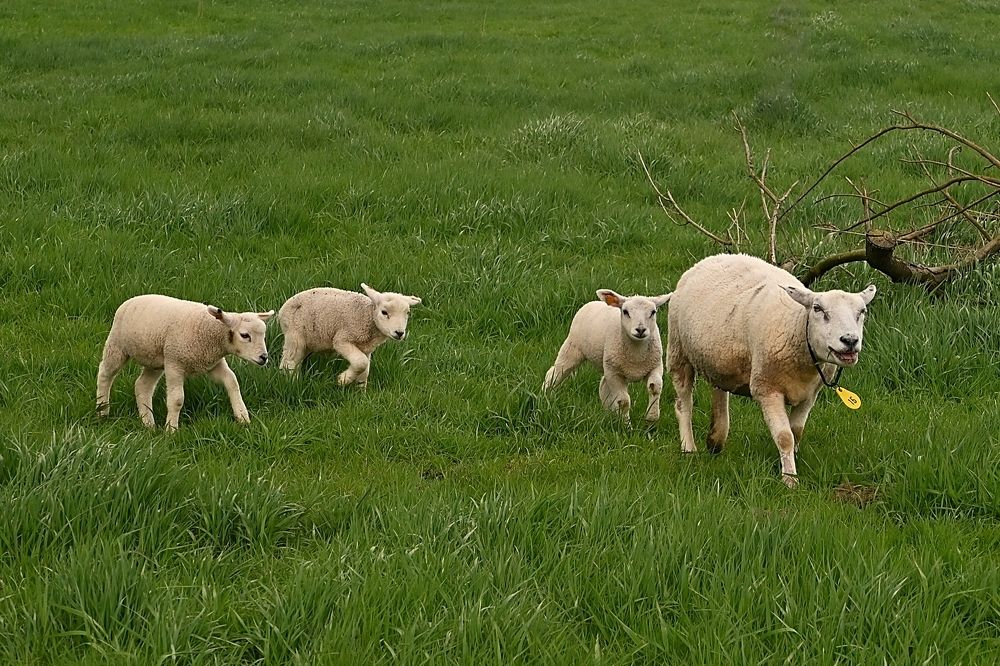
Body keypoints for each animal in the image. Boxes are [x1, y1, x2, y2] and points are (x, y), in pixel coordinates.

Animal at [96, 295, 274, 431]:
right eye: (245, 335)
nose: (263, 357)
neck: (210, 332)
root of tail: (131, 300)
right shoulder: (175, 364)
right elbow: (177, 400)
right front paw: (171, 430)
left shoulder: (213, 364)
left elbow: (232, 381)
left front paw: (242, 417)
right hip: (117, 346)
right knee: (105, 374)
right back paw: (102, 410)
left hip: (156, 360)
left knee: (142, 386)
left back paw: (148, 424)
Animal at [277, 283, 422, 387]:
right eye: (384, 312)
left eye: (407, 313)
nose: (399, 333)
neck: (367, 316)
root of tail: (282, 310)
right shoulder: (342, 339)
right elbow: (361, 363)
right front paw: (343, 380)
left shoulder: (366, 348)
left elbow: (364, 372)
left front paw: (361, 393)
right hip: (295, 336)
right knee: (288, 363)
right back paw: (291, 383)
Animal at [542, 289, 672, 422]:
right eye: (625, 312)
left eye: (653, 312)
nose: (640, 330)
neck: (637, 353)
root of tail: (592, 303)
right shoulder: (614, 374)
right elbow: (623, 401)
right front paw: (626, 424)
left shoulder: (655, 365)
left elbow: (655, 387)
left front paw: (651, 418)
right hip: (573, 348)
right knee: (555, 373)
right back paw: (544, 396)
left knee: (603, 386)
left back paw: (609, 413)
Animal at [666, 254, 876, 487]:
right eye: (817, 309)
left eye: (862, 312)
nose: (850, 340)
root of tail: (714, 258)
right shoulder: (767, 388)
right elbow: (785, 436)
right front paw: (790, 479)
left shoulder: (810, 394)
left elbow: (796, 432)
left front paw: (789, 464)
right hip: (678, 349)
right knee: (684, 403)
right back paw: (689, 447)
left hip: (719, 356)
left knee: (719, 389)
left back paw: (715, 439)